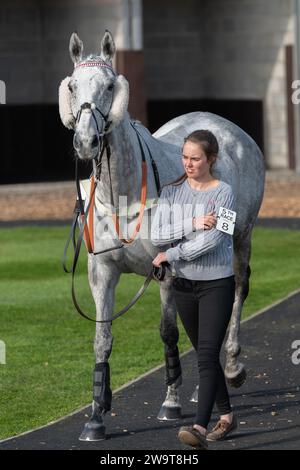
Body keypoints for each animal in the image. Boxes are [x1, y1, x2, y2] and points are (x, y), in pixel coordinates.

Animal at [58, 30, 264, 440]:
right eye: (72, 85)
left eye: (110, 85)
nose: (86, 142)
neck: (122, 194)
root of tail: (226, 125)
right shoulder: (101, 273)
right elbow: (101, 340)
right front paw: (96, 416)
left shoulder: (166, 271)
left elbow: (168, 332)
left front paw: (170, 403)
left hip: (241, 237)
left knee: (236, 290)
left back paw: (232, 368)